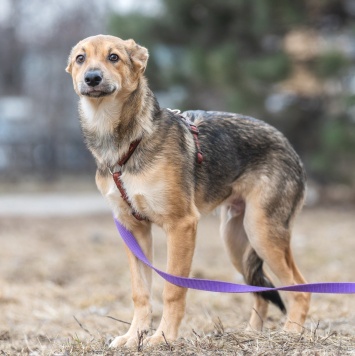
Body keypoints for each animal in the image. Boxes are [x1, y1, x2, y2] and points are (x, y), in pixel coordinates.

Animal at [67, 34, 312, 348]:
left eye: (113, 57)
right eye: (80, 58)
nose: (92, 78)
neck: (127, 141)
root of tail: (288, 145)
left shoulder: (181, 225)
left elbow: (173, 289)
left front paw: (163, 338)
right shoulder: (133, 230)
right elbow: (140, 292)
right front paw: (133, 337)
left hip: (262, 232)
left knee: (300, 287)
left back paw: (291, 333)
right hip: (236, 240)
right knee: (260, 291)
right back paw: (250, 334)